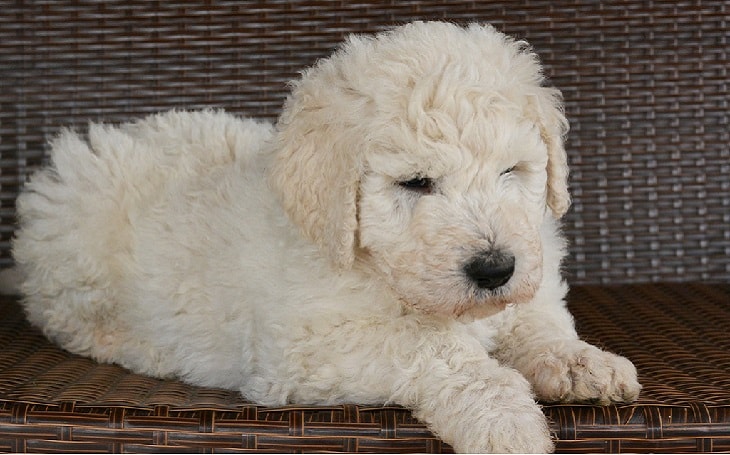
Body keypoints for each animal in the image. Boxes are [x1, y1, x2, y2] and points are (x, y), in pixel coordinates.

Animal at [9, 20, 636, 452]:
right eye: (415, 183)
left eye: (511, 172)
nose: (494, 269)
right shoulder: (306, 348)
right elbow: (437, 351)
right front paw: (507, 420)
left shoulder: (528, 279)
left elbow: (538, 322)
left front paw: (583, 363)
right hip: (78, 258)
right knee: (65, 315)